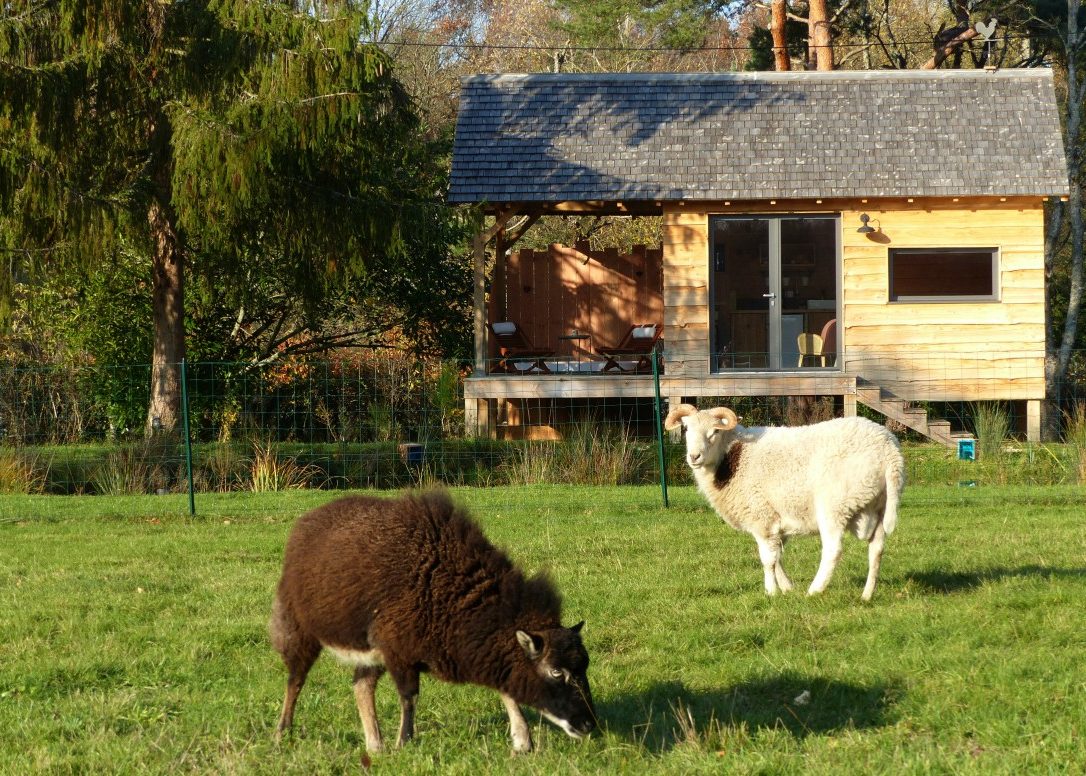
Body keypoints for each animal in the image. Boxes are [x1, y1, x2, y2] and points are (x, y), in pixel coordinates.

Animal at [269, 490, 597, 754]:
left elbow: (507, 688)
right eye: (556, 671)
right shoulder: (399, 651)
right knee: (295, 681)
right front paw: (404, 742)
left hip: (367, 649)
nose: (588, 725)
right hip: (298, 628)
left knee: (361, 686)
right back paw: (282, 733)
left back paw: (375, 746)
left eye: (584, 666)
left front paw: (523, 742)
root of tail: (307, 520)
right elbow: (409, 697)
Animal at [665, 404, 905, 601]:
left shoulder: (761, 516)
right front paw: (787, 587)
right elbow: (777, 557)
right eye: (686, 429)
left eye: (715, 431)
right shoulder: (775, 521)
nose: (694, 457)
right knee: (876, 549)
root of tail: (889, 452)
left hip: (834, 505)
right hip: (879, 506)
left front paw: (771, 591)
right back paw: (867, 595)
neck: (733, 456)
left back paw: (814, 591)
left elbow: (767, 559)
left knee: (833, 550)